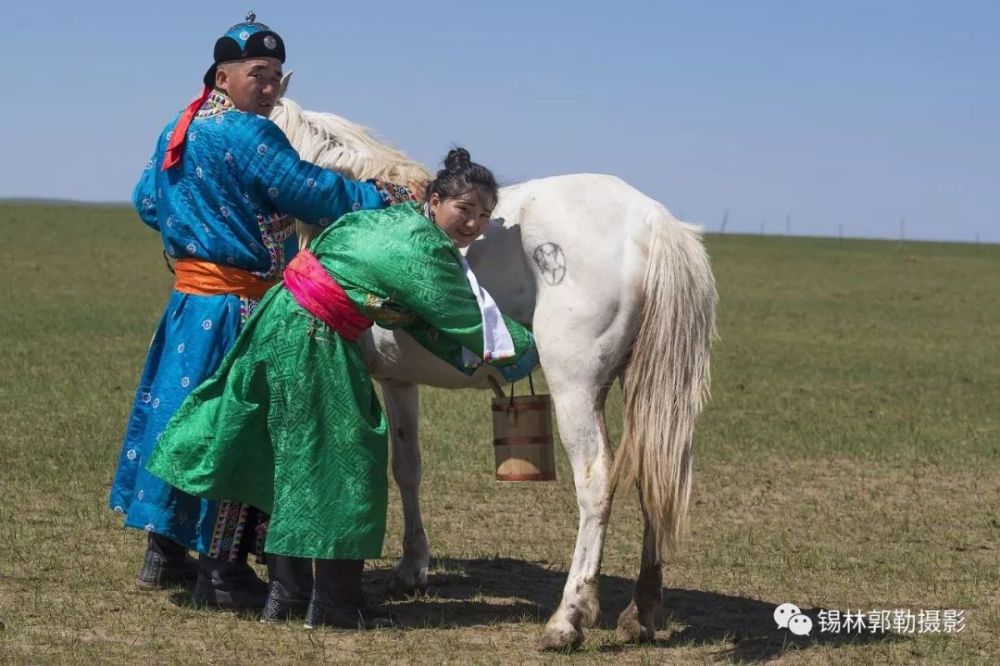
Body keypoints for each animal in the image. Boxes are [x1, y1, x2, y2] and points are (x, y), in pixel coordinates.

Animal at [270, 89, 716, 648]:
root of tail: (655, 223)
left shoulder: (383, 381)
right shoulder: (399, 382)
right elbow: (408, 466)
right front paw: (412, 568)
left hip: (575, 390)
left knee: (596, 482)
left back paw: (567, 618)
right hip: (651, 393)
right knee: (655, 476)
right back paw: (642, 611)